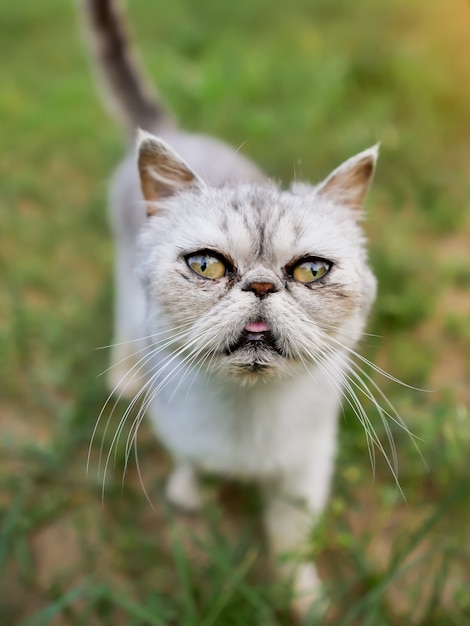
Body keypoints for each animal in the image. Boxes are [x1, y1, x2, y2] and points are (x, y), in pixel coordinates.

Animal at [83, 0, 378, 616]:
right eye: (207, 266)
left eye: (311, 271)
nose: (262, 286)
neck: (249, 414)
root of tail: (177, 131)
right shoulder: (184, 432)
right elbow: (194, 463)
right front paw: (190, 496)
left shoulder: (304, 474)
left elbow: (291, 543)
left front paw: (305, 601)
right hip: (124, 281)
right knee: (124, 323)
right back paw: (124, 375)